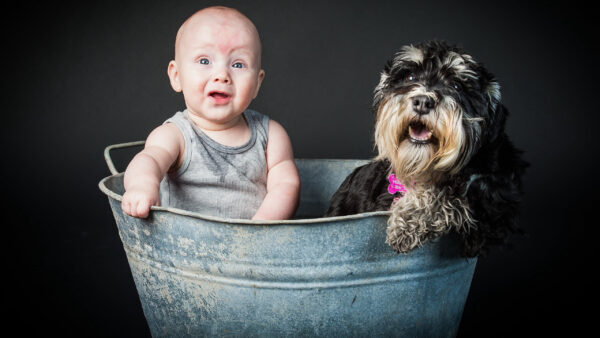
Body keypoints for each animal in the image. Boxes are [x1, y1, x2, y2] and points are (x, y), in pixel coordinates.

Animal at [326, 41, 528, 258]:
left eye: (457, 86)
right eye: (410, 77)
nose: (422, 101)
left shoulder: (496, 196)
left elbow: (450, 192)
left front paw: (407, 221)